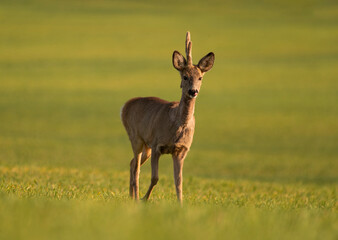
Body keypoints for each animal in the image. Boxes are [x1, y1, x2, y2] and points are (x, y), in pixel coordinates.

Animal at [121, 31, 214, 203]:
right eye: (185, 77)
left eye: (200, 78)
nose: (193, 91)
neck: (178, 124)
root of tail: (125, 105)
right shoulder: (158, 145)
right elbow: (155, 178)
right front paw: (144, 199)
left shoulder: (181, 150)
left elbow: (179, 181)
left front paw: (180, 204)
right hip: (135, 137)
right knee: (136, 168)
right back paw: (136, 198)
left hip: (146, 145)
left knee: (132, 163)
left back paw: (131, 196)